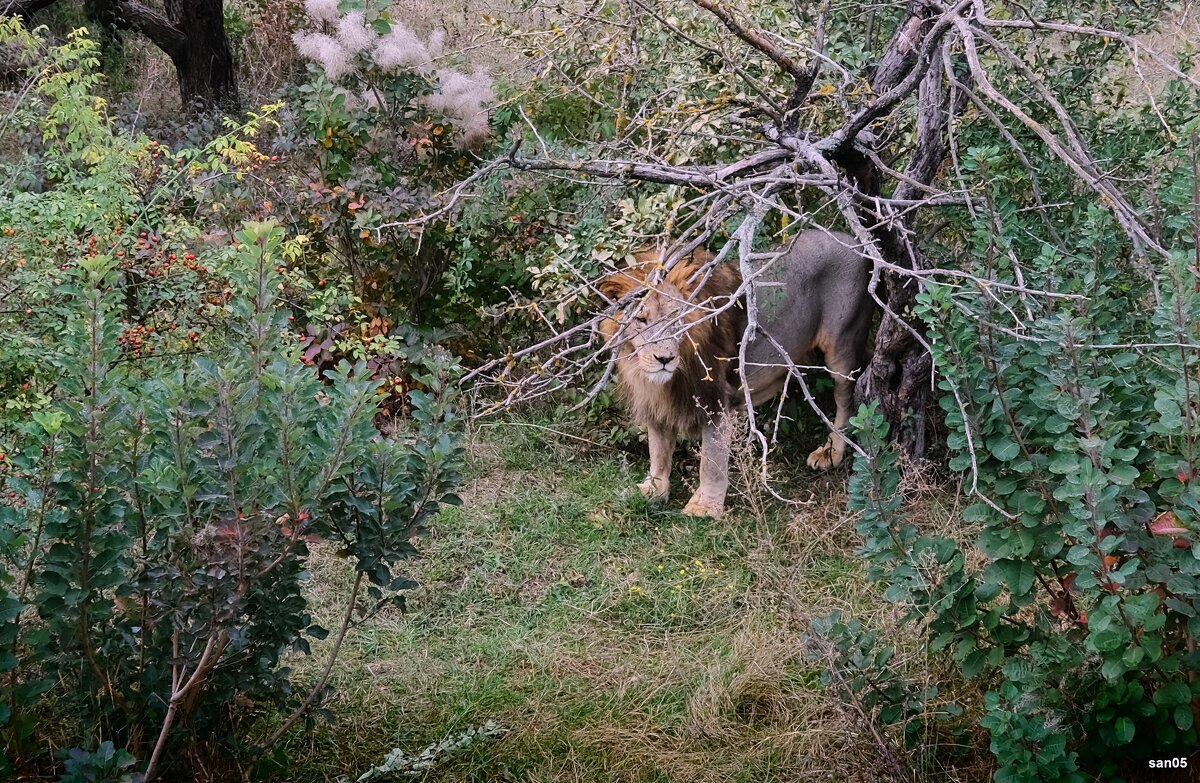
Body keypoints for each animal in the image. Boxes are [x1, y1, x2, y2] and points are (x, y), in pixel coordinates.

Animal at [597, 229, 873, 516]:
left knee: (847, 402)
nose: (664, 359)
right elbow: (658, 449)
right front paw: (654, 489)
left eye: (678, 319)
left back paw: (831, 452)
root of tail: (853, 240)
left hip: (842, 347)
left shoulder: (718, 401)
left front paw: (705, 507)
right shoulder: (656, 401)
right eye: (641, 320)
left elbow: (711, 461)